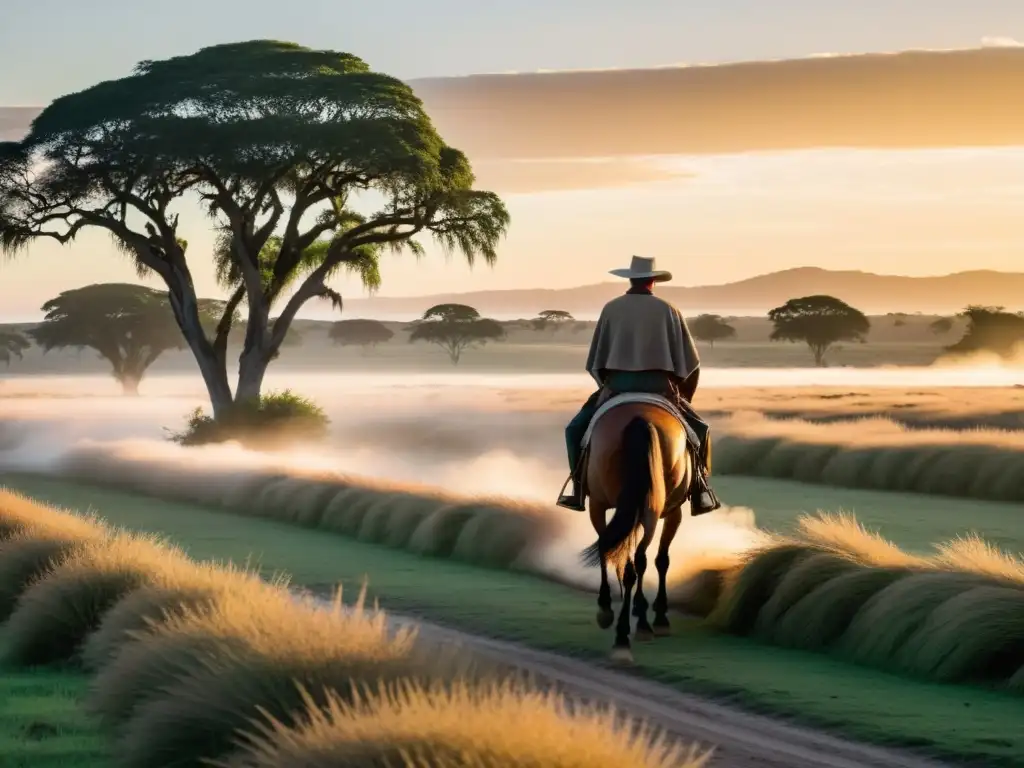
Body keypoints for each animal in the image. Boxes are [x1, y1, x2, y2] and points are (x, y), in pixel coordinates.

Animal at [581, 403, 692, 663]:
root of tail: (641, 418)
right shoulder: (673, 511)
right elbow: (660, 559)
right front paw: (656, 614)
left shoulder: (599, 505)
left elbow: (611, 549)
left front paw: (607, 607)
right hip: (650, 508)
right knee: (639, 559)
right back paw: (637, 625)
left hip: (608, 504)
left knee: (626, 559)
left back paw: (623, 631)